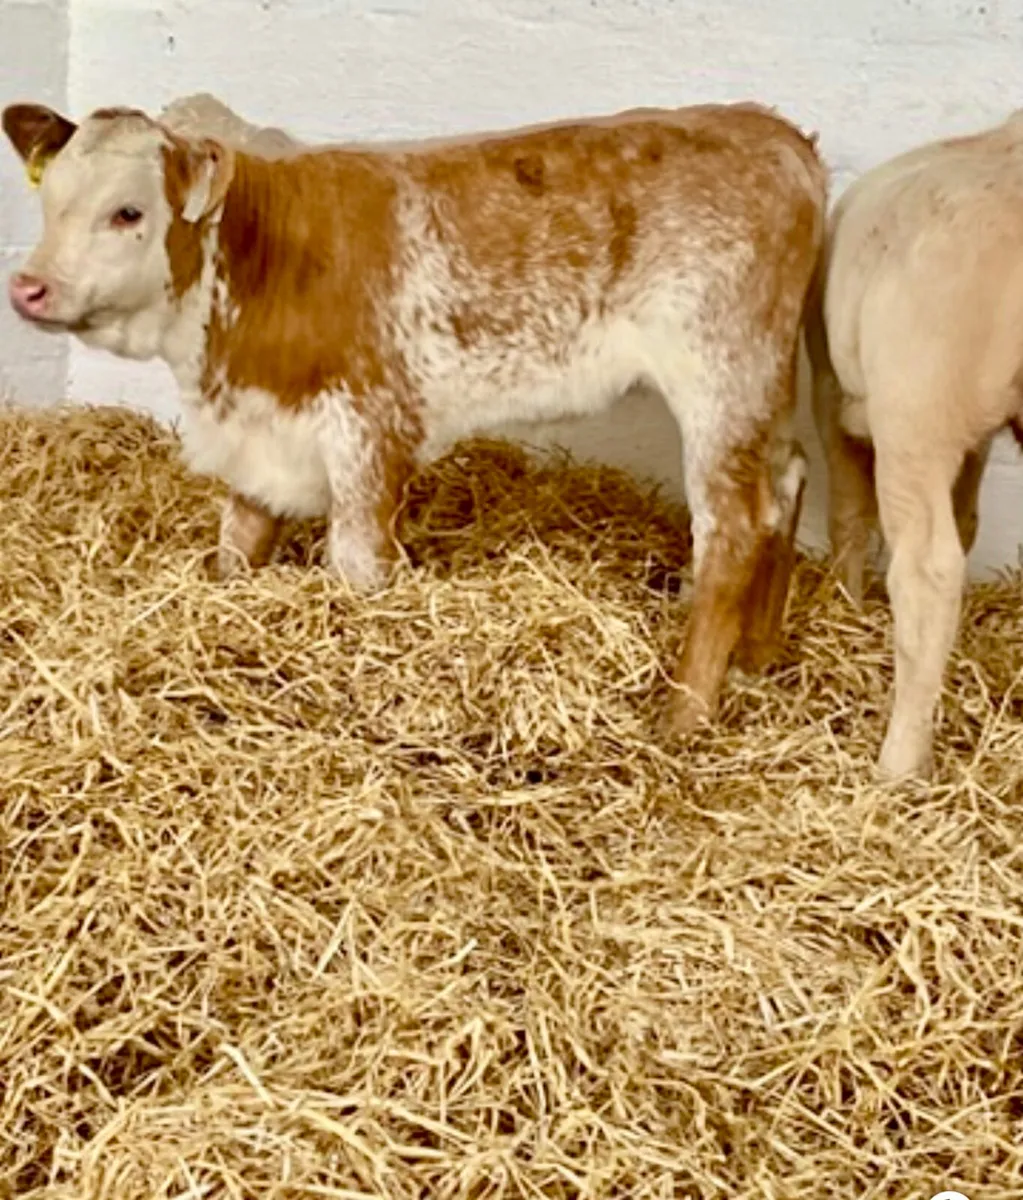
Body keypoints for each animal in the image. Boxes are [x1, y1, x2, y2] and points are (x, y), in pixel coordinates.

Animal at [2, 96, 825, 738]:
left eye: (128, 211)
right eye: (50, 198)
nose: (30, 286)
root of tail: (771, 130)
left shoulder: (369, 429)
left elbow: (357, 563)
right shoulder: (259, 438)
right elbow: (235, 549)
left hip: (719, 377)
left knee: (732, 526)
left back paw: (685, 714)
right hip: (763, 387)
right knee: (785, 483)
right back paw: (757, 658)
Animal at [805, 109, 1023, 779]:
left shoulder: (833, 391)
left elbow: (849, 513)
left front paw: (843, 603)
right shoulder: (973, 433)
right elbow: (970, 516)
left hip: (915, 406)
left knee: (926, 569)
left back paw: (900, 762)